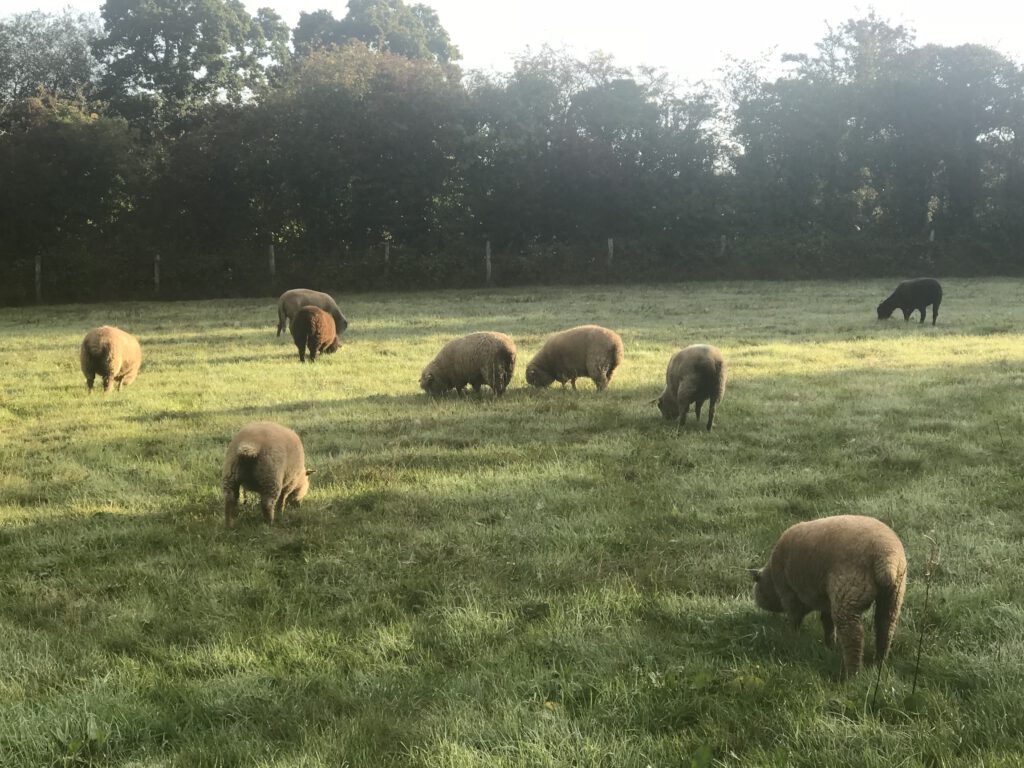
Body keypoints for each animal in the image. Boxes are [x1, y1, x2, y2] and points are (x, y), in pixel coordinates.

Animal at [751, 515, 907, 677]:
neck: (771, 579)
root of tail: (887, 556)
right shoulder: (826, 600)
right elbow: (827, 623)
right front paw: (829, 645)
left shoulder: (789, 593)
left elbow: (795, 618)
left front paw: (791, 636)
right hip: (893, 595)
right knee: (885, 627)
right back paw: (879, 662)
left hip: (848, 594)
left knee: (853, 636)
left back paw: (852, 674)